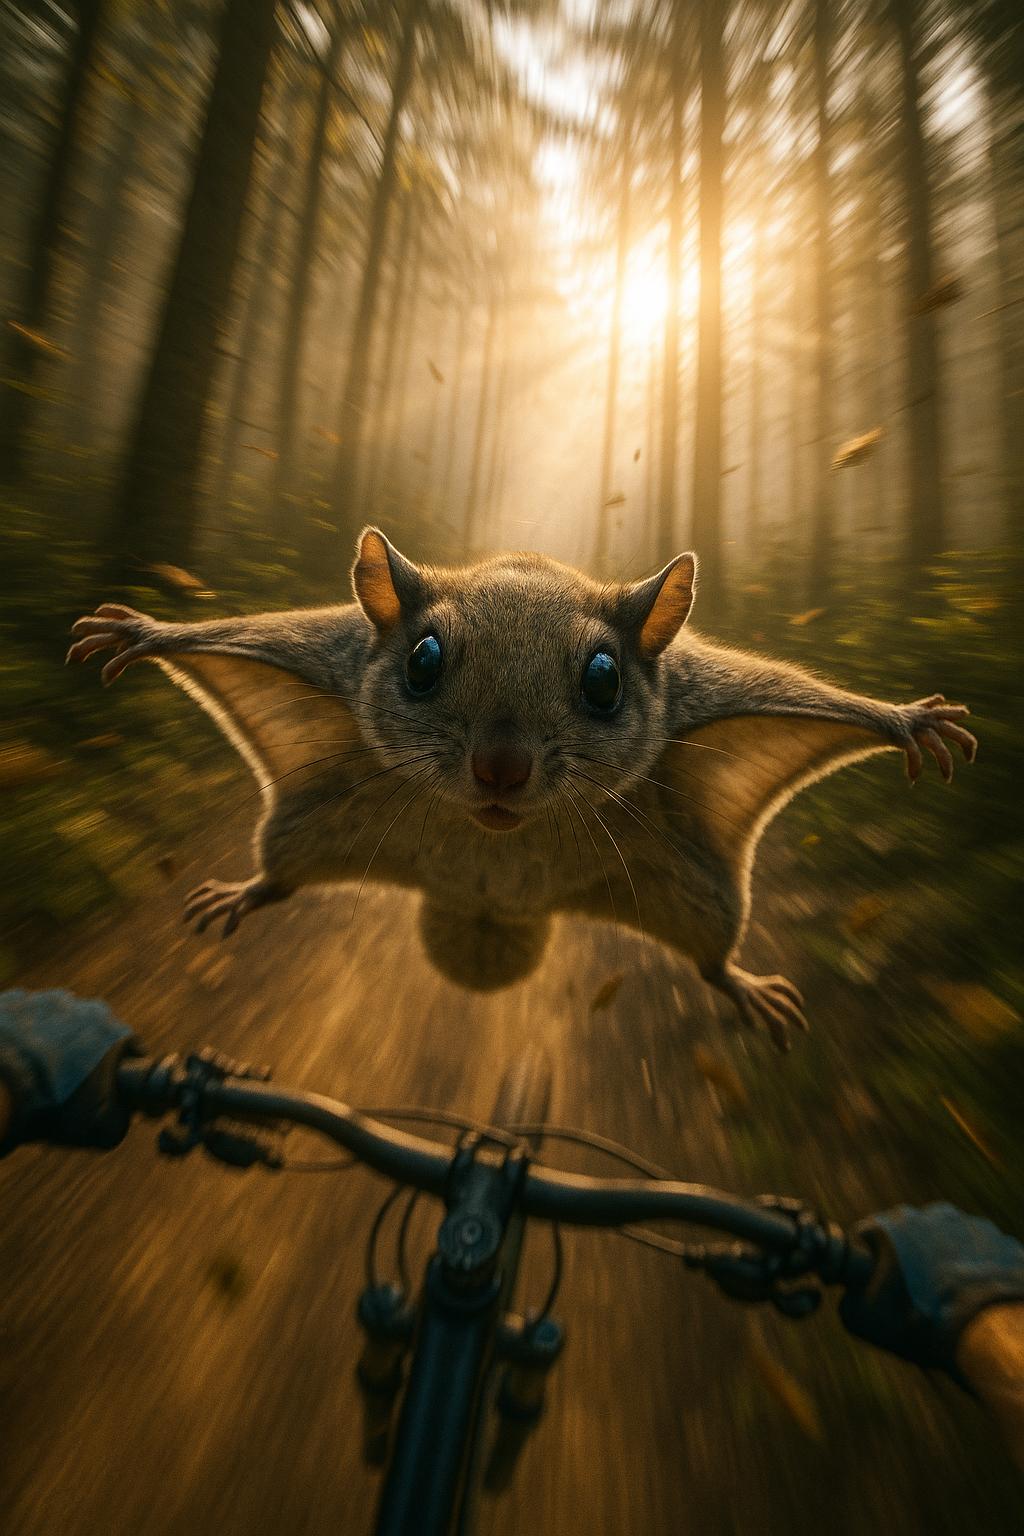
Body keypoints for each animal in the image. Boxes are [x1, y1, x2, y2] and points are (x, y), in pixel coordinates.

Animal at [68, 528, 977, 1051]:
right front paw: (144, 630)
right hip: (310, 831)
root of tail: (489, 911)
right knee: (278, 878)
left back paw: (741, 985)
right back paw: (245, 892)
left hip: (694, 897)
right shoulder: (327, 653)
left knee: (712, 961)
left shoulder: (707, 694)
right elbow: (248, 632)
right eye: (422, 660)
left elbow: (799, 690)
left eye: (604, 680)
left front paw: (905, 720)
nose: (499, 768)